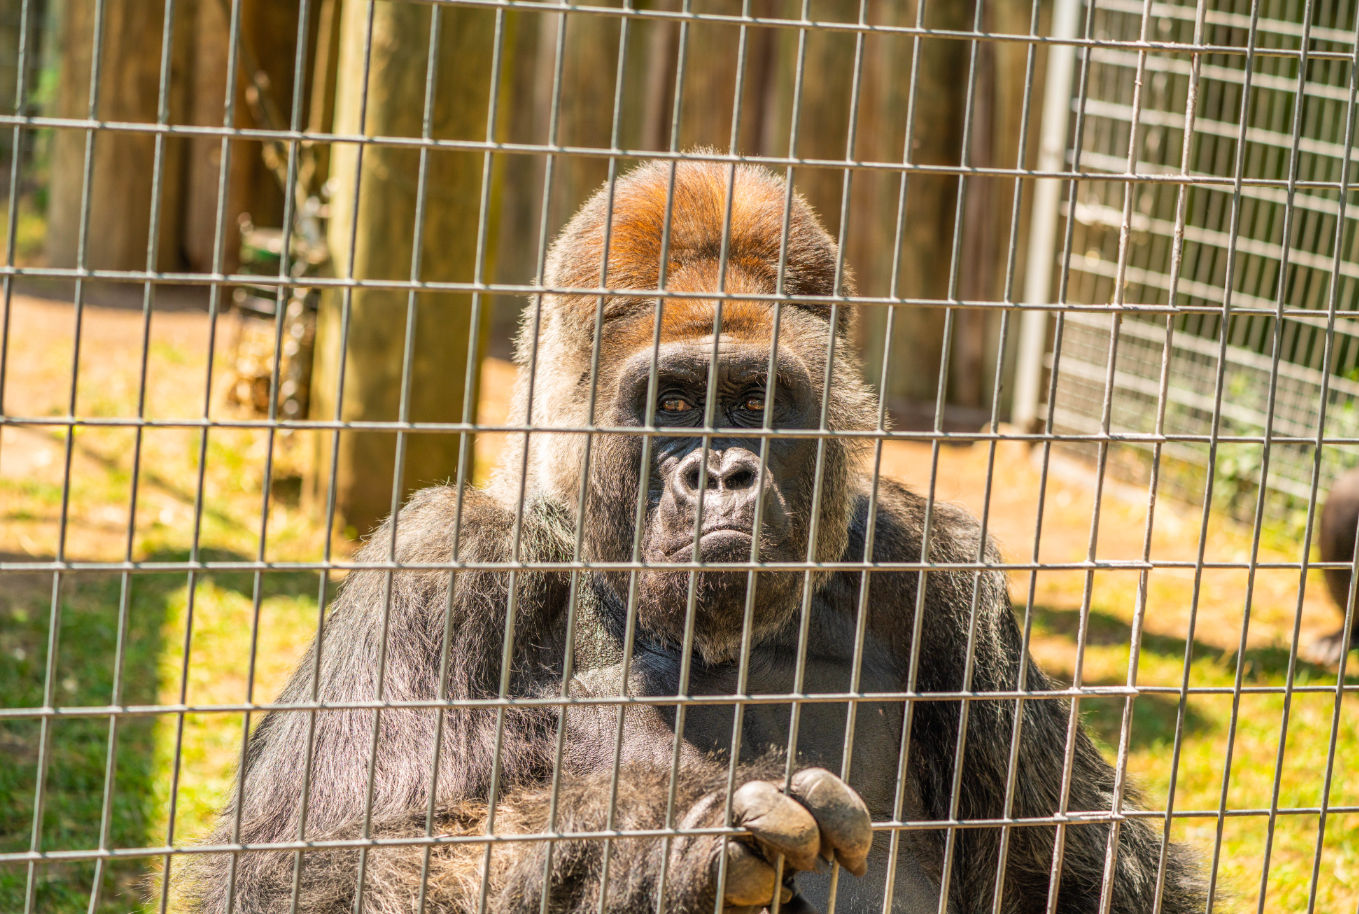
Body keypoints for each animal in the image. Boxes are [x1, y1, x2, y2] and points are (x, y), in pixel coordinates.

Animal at [173, 159, 1206, 914]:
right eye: (673, 401)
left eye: (754, 402)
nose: (720, 475)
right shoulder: (441, 562)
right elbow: (308, 868)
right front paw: (672, 841)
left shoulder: (939, 569)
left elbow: (1088, 874)